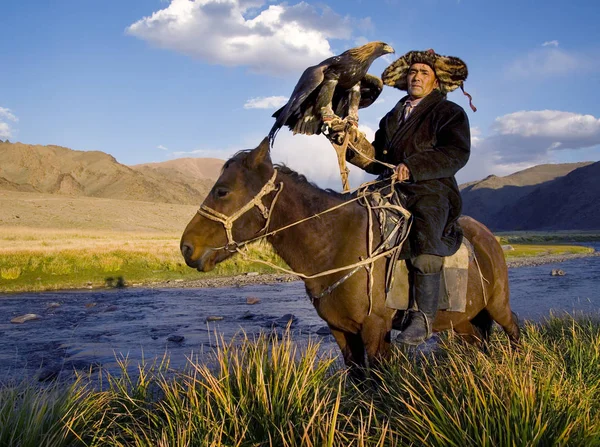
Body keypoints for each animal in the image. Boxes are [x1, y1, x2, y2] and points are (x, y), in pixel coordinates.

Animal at [179, 139, 520, 372]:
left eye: (222, 191)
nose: (186, 248)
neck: (334, 246)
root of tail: (488, 238)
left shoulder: (376, 330)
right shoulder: (341, 331)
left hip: (498, 305)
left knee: (513, 328)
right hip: (462, 319)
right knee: (476, 344)